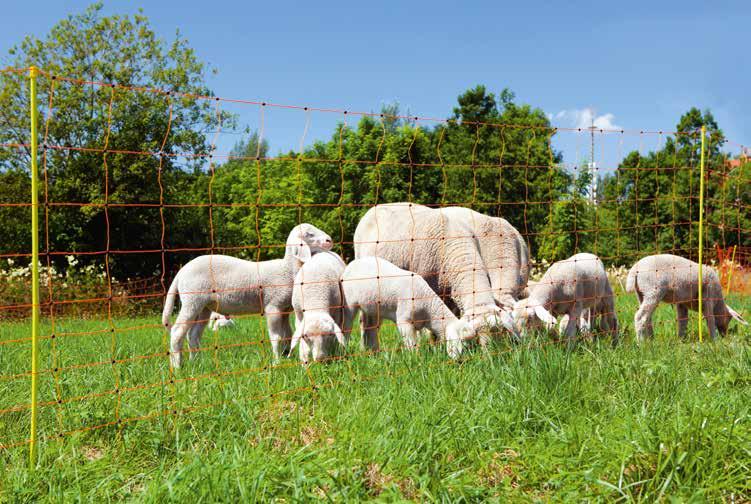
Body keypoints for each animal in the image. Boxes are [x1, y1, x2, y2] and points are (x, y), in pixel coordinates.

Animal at [163, 223, 334, 366]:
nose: (329, 240)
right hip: (191, 300)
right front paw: (277, 362)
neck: (287, 269)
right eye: (309, 234)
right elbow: (276, 337)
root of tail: (182, 271)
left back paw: (197, 363)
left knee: (193, 335)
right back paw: (178, 367)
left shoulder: (284, 308)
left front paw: (287, 356)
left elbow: (288, 335)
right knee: (177, 332)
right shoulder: (273, 306)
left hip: (204, 306)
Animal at [342, 256, 476, 358]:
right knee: (347, 324)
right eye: (461, 342)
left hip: (372, 307)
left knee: (370, 328)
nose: (464, 362)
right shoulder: (404, 321)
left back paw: (373, 352)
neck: (428, 308)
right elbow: (411, 344)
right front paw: (415, 359)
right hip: (349, 300)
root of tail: (353, 263)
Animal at [356, 203, 516, 344]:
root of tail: (374, 208)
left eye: (499, 332)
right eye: (477, 334)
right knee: (367, 322)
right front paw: (435, 346)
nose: (489, 354)